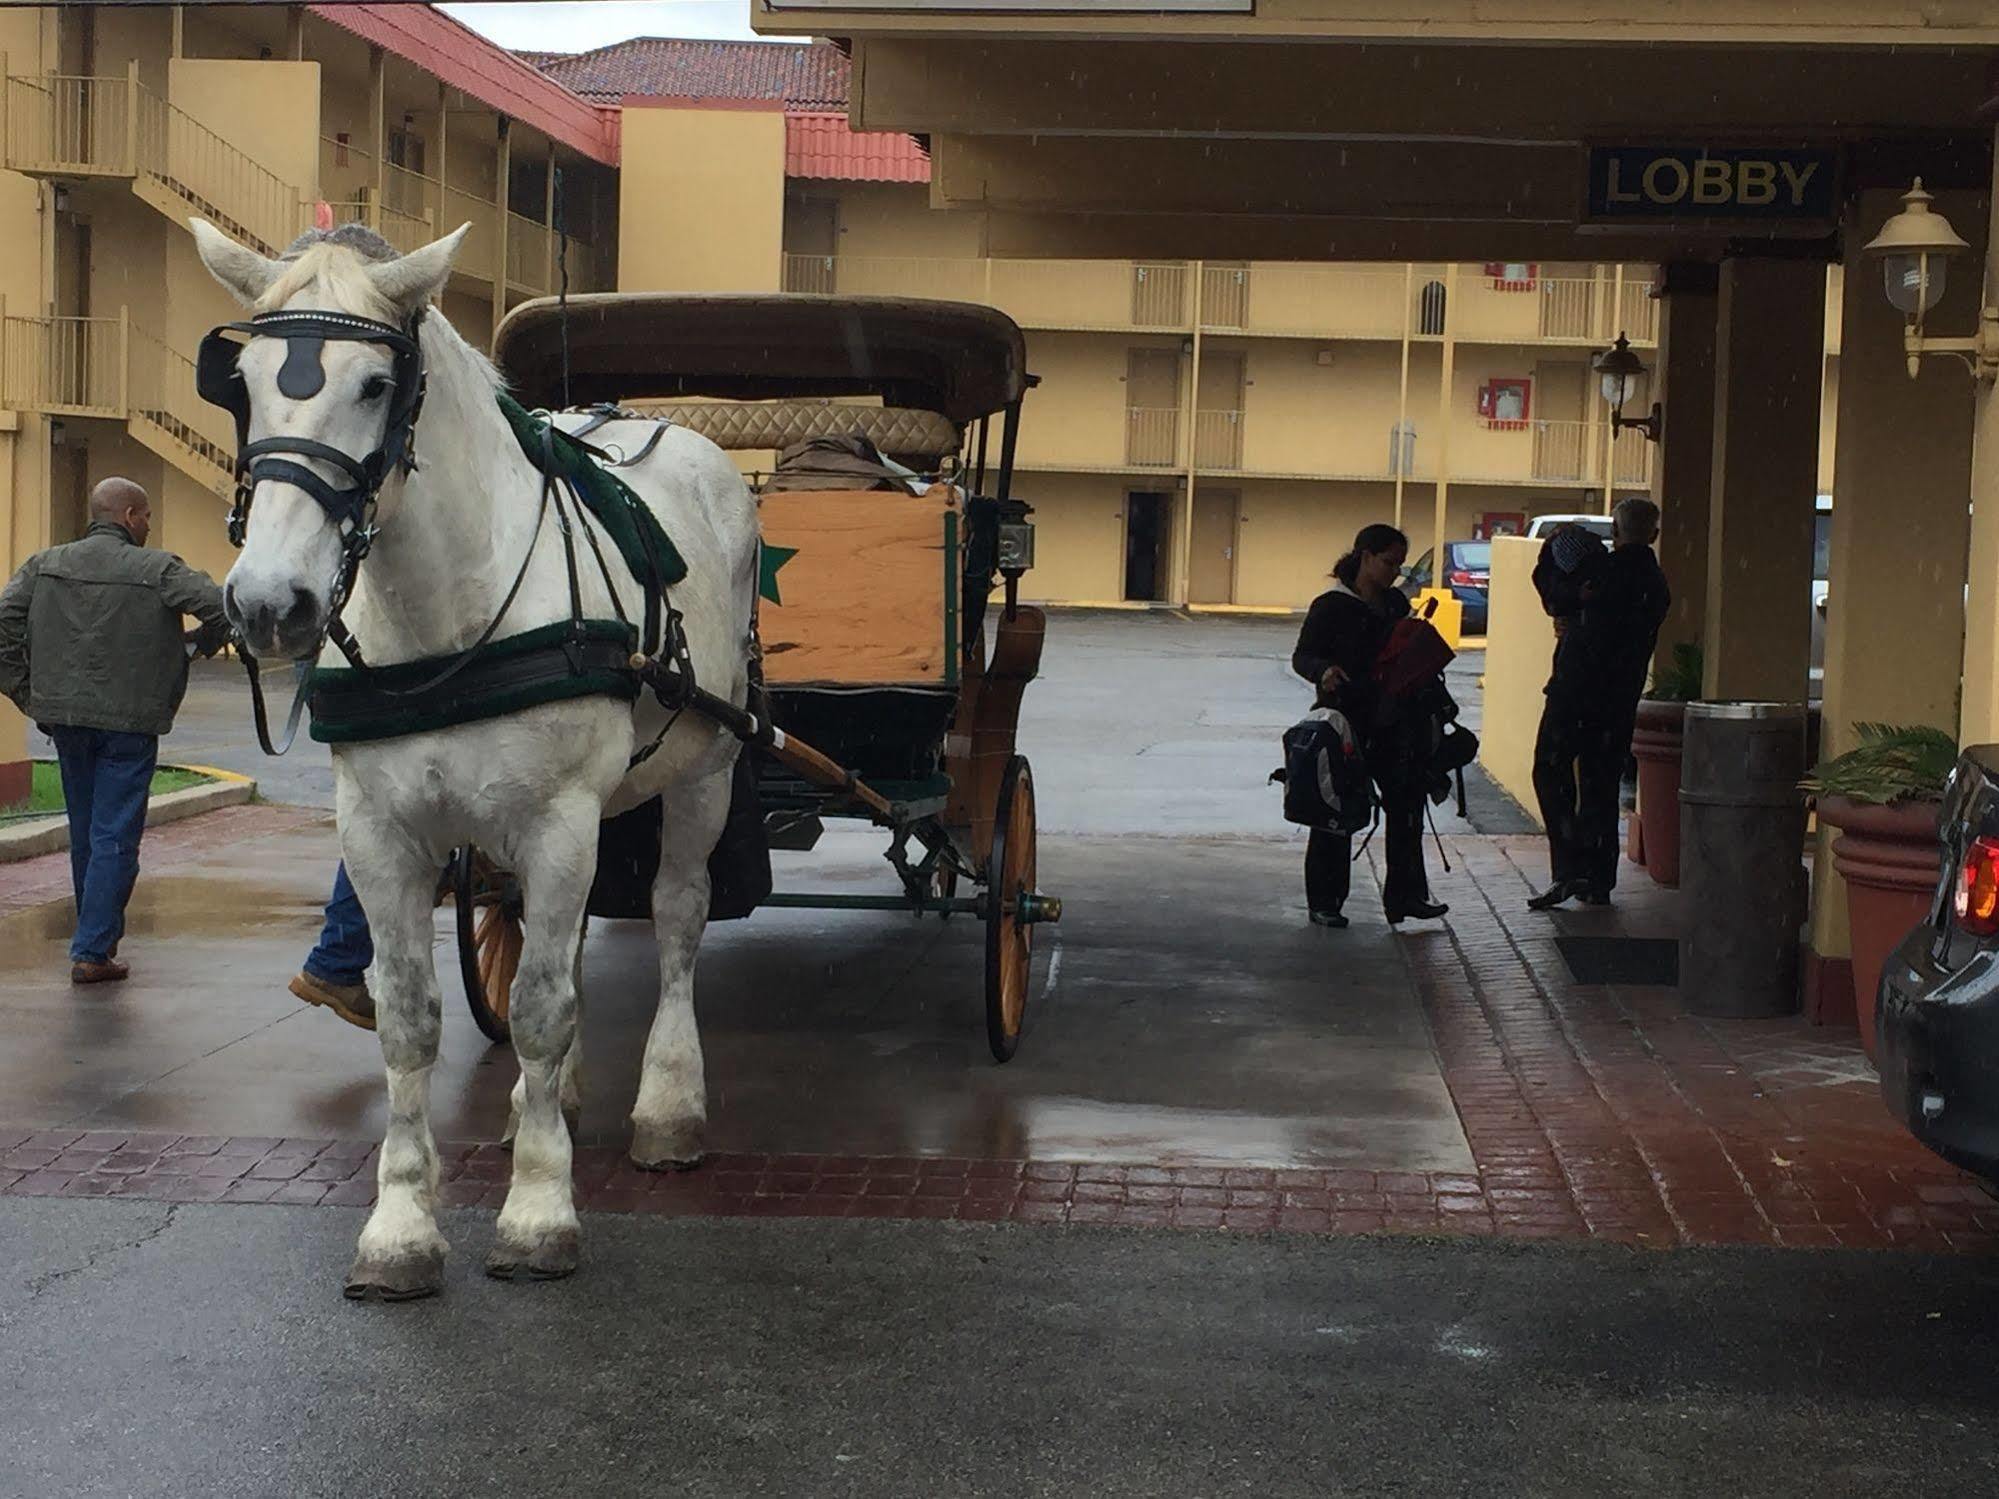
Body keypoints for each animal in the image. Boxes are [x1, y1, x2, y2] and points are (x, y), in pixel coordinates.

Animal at [194, 216, 755, 1295]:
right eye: (237, 381)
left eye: (377, 383)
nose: (268, 602)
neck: (444, 614)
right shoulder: (379, 835)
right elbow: (414, 1017)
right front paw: (401, 1225)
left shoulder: (559, 821)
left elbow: (537, 1008)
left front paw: (538, 1212)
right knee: (563, 941)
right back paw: (556, 1098)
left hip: (703, 772)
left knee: (674, 918)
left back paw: (669, 1104)